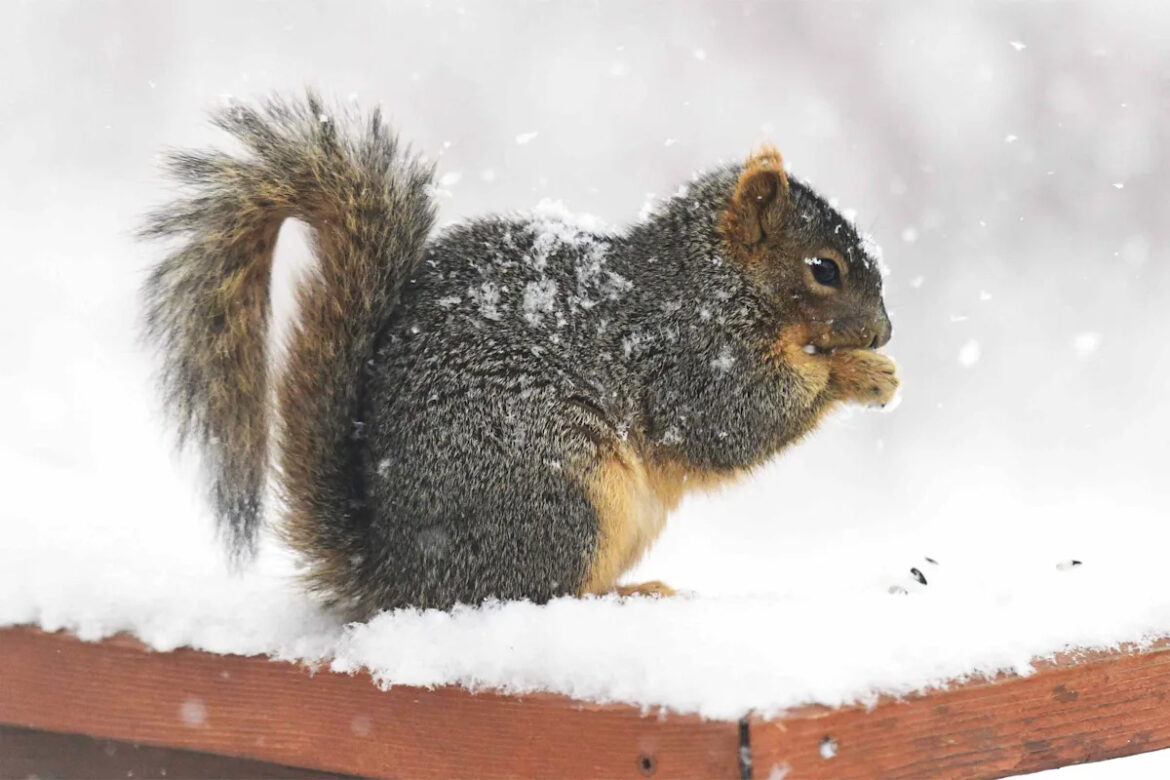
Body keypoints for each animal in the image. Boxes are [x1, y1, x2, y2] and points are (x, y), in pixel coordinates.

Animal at [142, 92, 897, 619]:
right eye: (824, 269)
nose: (884, 333)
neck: (715, 277)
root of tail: (394, 573)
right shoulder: (686, 353)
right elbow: (735, 419)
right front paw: (856, 374)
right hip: (558, 486)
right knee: (534, 593)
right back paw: (622, 596)